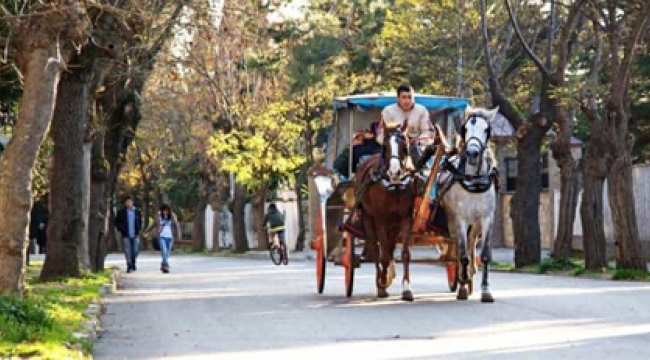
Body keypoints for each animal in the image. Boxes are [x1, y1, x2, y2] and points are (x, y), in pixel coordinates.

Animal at [352, 126, 418, 300]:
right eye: (385, 147)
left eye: (405, 146)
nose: (395, 171)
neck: (394, 185)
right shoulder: (380, 219)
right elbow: (384, 255)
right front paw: (382, 282)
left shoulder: (406, 218)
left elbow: (404, 253)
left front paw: (406, 288)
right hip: (367, 218)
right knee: (376, 248)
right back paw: (380, 281)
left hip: (393, 224)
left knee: (390, 246)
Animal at [438, 105, 498, 302]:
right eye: (464, 129)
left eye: (486, 129)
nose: (472, 153)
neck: (474, 181)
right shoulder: (461, 220)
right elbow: (462, 254)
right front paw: (462, 286)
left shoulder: (487, 219)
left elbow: (485, 255)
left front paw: (486, 290)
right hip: (452, 222)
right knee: (458, 248)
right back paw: (462, 279)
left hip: (476, 224)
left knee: (471, 244)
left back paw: (470, 274)